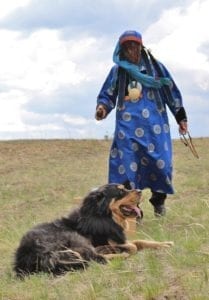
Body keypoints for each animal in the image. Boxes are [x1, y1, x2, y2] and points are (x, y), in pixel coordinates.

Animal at [13, 184, 173, 278]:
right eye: (121, 191)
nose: (140, 190)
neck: (103, 216)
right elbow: (133, 246)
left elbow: (140, 241)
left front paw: (164, 244)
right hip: (73, 237)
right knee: (93, 258)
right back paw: (119, 256)